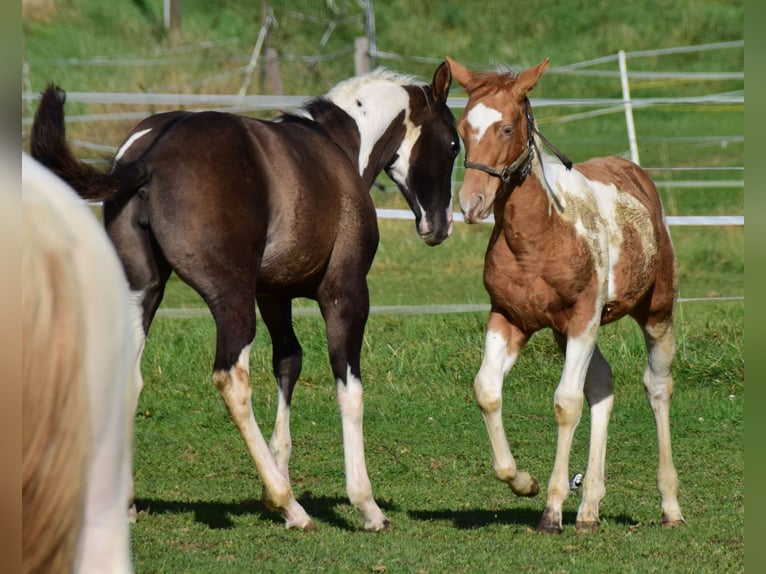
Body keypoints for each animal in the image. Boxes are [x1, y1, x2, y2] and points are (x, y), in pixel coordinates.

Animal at [30, 63, 460, 532]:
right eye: (454, 144)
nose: (440, 226)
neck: (338, 150)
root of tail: (149, 155)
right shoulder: (345, 293)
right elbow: (349, 388)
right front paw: (364, 503)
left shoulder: (272, 295)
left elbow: (289, 362)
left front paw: (279, 467)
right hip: (231, 298)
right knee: (232, 378)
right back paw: (289, 504)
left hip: (142, 291)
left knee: (130, 375)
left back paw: (128, 502)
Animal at [448, 58, 688, 536]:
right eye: (463, 127)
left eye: (506, 128)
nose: (471, 203)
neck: (541, 234)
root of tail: (635, 172)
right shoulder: (509, 318)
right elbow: (487, 390)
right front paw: (523, 482)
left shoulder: (582, 318)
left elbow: (565, 404)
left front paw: (553, 510)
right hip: (567, 332)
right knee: (603, 387)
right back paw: (590, 508)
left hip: (653, 312)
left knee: (656, 386)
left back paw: (669, 505)